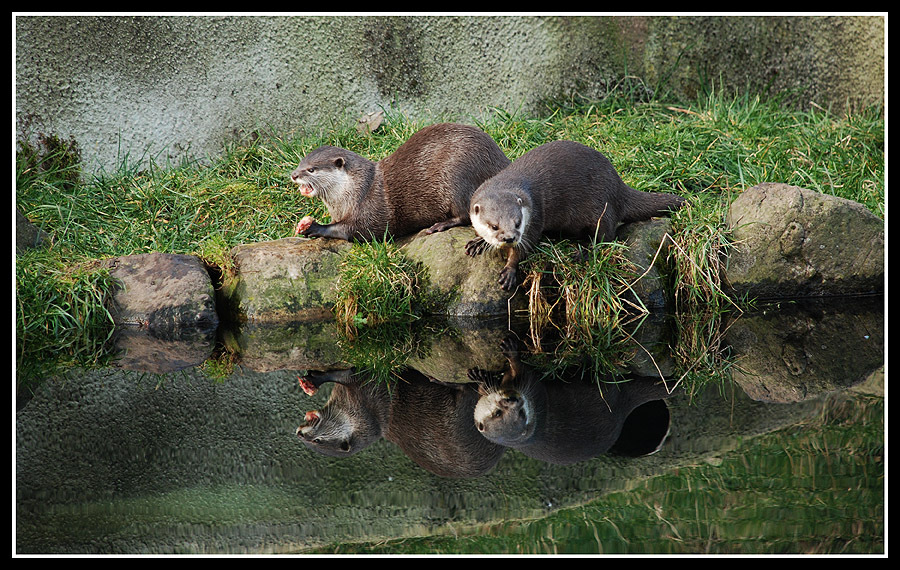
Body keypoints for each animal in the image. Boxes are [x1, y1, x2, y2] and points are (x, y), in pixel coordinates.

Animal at [292, 122, 510, 240]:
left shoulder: (368, 213)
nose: (294, 175)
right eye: (300, 162)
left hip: (458, 176)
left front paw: (314, 227)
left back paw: (440, 225)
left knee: (466, 214)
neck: (355, 192)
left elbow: (352, 230)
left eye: (311, 169)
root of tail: (500, 160)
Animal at [296, 366, 506, 478]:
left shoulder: (367, 395)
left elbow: (352, 373)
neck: (357, 416)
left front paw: (315, 379)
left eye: (317, 441)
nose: (299, 433)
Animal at [468, 138, 684, 288]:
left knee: (606, 237)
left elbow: (523, 248)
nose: (510, 238)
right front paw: (478, 242)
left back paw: (583, 252)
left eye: (518, 222)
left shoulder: (535, 216)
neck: (511, 180)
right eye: (494, 226)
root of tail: (619, 186)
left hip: (602, 209)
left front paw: (510, 271)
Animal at [468, 338, 672, 462]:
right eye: (498, 413)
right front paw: (482, 377)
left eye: (521, 413)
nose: (513, 399)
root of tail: (621, 412)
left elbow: (521, 370)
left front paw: (504, 358)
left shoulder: (531, 389)